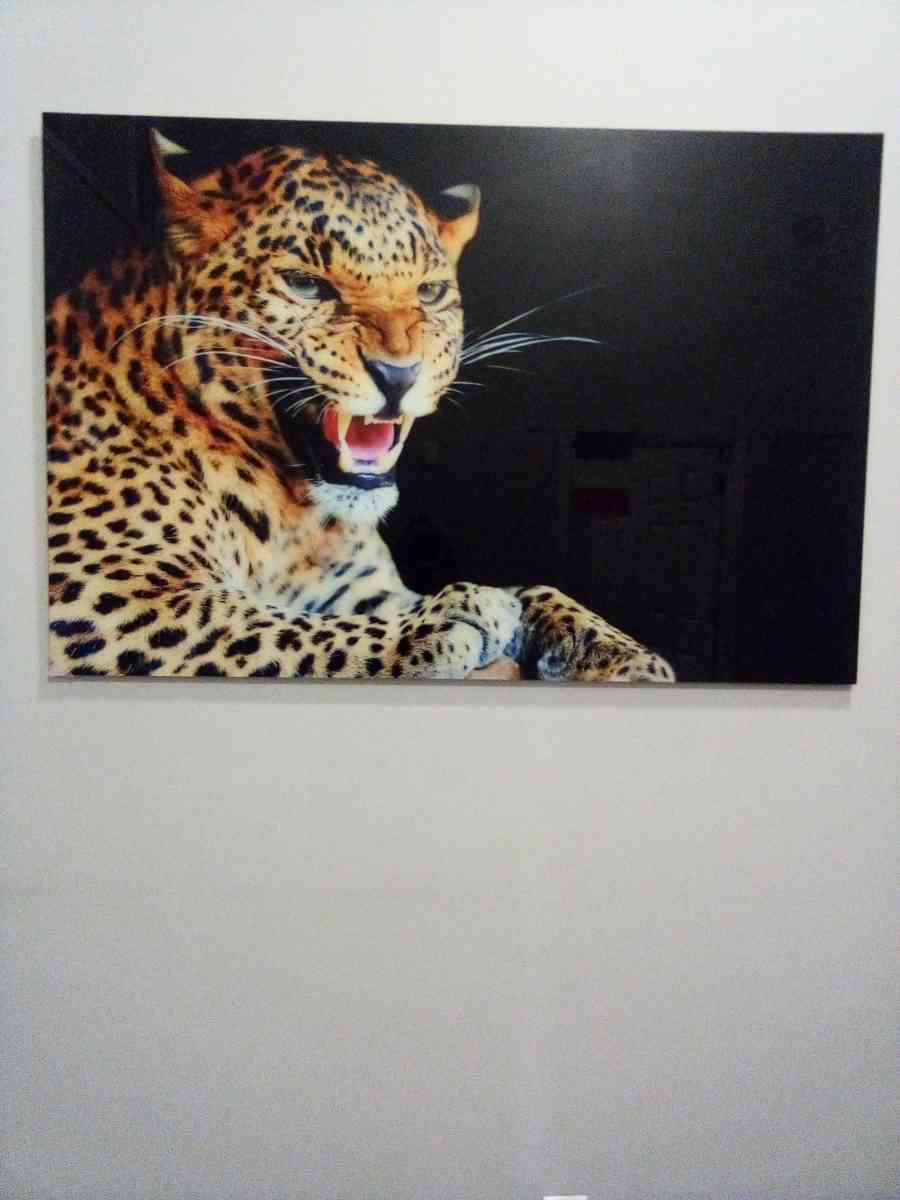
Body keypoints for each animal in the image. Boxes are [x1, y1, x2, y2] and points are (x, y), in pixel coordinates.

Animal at [44, 130, 675, 682]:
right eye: (305, 284)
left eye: (430, 292)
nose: (399, 374)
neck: (293, 519)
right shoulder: (104, 587)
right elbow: (268, 632)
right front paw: (453, 616)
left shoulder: (363, 587)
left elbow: (537, 589)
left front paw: (621, 655)